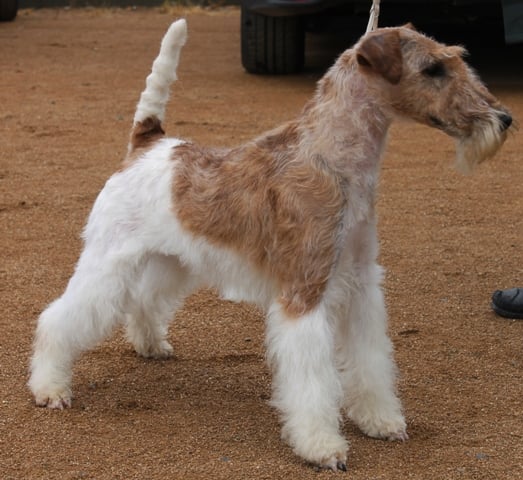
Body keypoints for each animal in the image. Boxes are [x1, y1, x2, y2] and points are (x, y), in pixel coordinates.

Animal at [27, 17, 512, 468]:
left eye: (454, 60)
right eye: (433, 69)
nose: (505, 119)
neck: (332, 159)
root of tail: (149, 143)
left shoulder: (360, 283)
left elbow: (370, 361)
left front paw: (380, 419)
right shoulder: (304, 292)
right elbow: (312, 382)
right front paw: (322, 447)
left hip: (172, 260)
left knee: (144, 301)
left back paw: (150, 345)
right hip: (108, 262)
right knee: (58, 318)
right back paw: (50, 386)